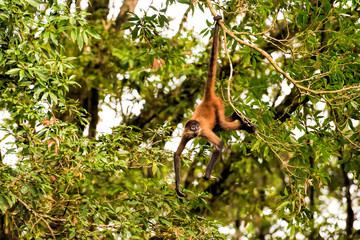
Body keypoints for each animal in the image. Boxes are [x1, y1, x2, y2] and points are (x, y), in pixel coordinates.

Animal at [174, 15, 256, 198]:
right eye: (192, 127)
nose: (196, 129)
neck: (195, 131)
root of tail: (206, 99)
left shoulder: (203, 130)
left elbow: (219, 144)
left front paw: (206, 175)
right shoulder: (186, 133)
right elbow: (177, 154)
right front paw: (178, 189)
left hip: (217, 105)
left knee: (223, 126)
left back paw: (246, 126)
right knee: (220, 125)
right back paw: (237, 116)